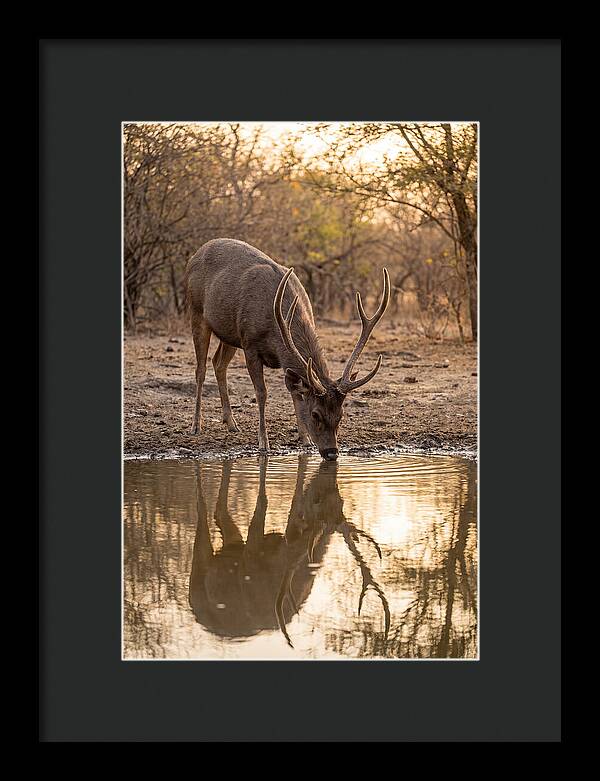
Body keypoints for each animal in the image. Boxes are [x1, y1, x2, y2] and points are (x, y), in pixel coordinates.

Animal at [184, 238, 390, 460]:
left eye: (341, 415)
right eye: (315, 414)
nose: (332, 453)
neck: (275, 327)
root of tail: (196, 254)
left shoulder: (281, 357)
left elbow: (295, 393)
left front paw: (305, 439)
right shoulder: (250, 344)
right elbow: (262, 392)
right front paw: (263, 443)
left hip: (229, 333)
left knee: (218, 363)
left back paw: (231, 423)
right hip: (196, 311)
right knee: (201, 369)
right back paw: (196, 425)